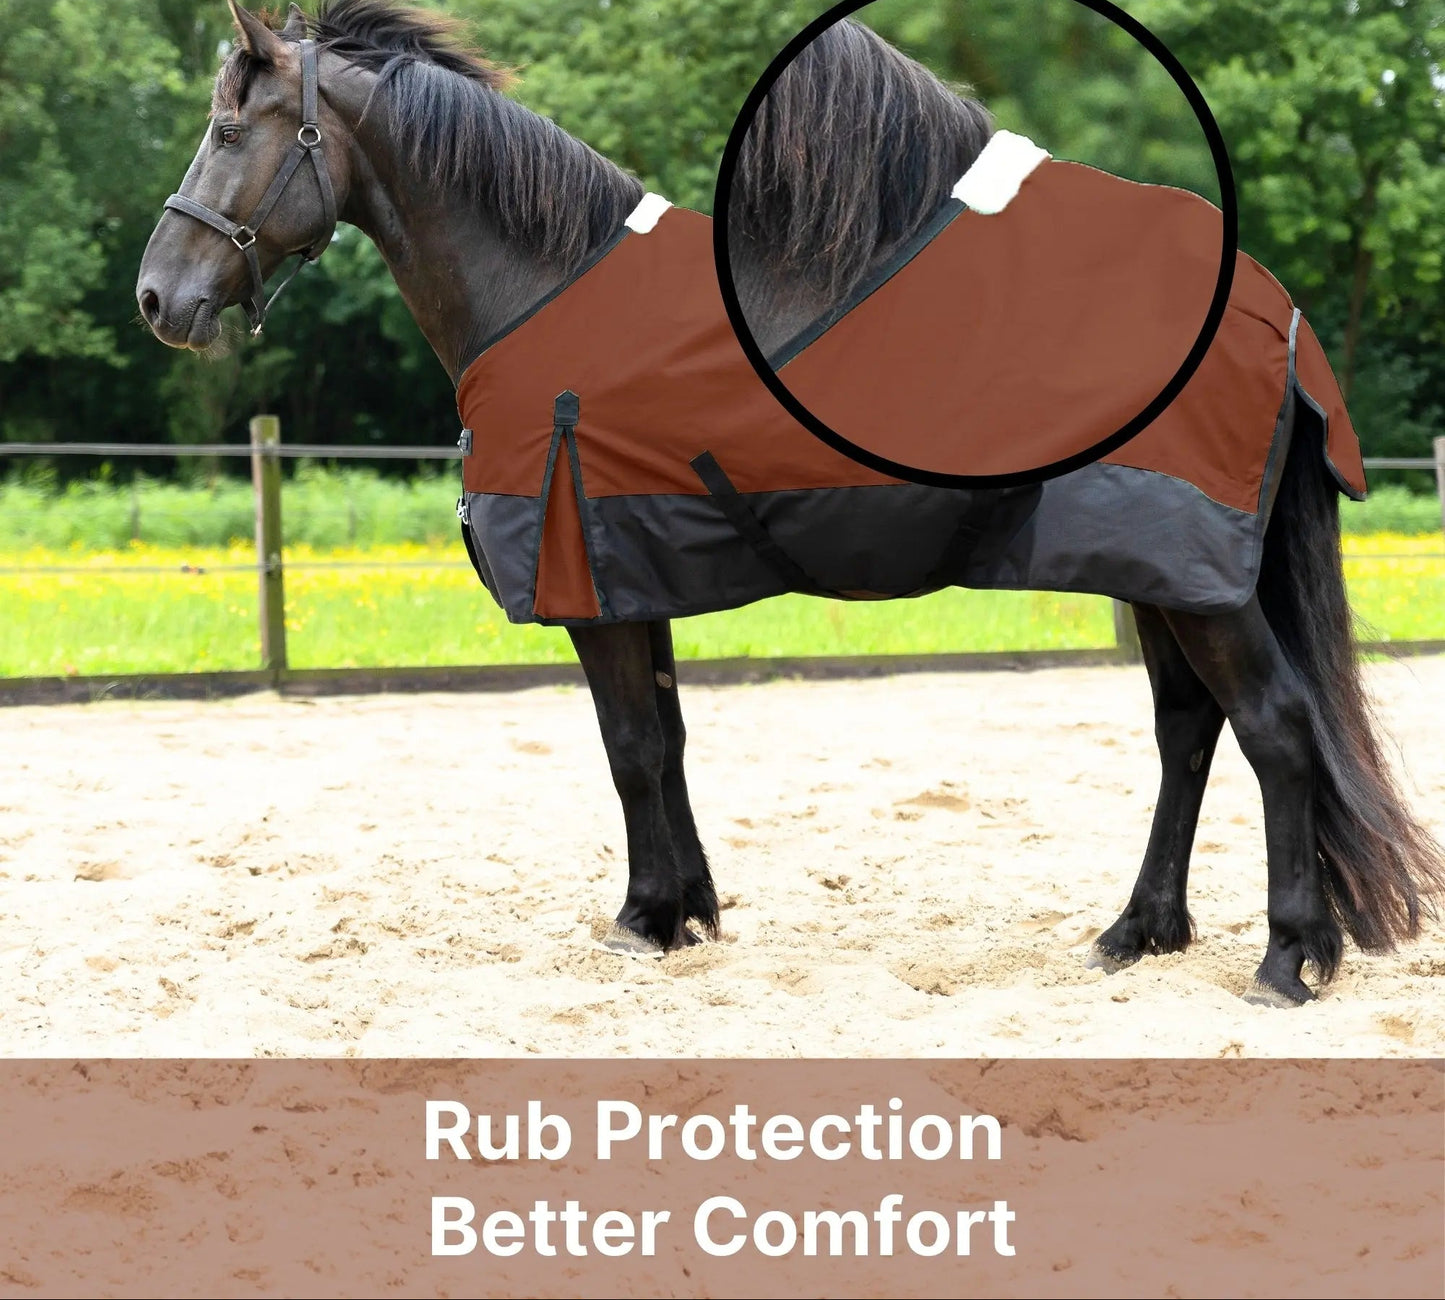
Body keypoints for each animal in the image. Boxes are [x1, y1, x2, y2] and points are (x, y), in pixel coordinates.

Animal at [136, 1, 1443, 1007]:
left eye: (226, 128)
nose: (157, 297)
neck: (542, 288)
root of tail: (1265, 309)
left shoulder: (590, 587)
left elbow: (625, 748)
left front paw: (641, 919)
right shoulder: (633, 572)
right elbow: (663, 742)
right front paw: (688, 912)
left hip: (1193, 578)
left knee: (1273, 728)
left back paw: (1287, 959)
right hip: (1162, 573)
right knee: (1187, 731)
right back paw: (1134, 935)